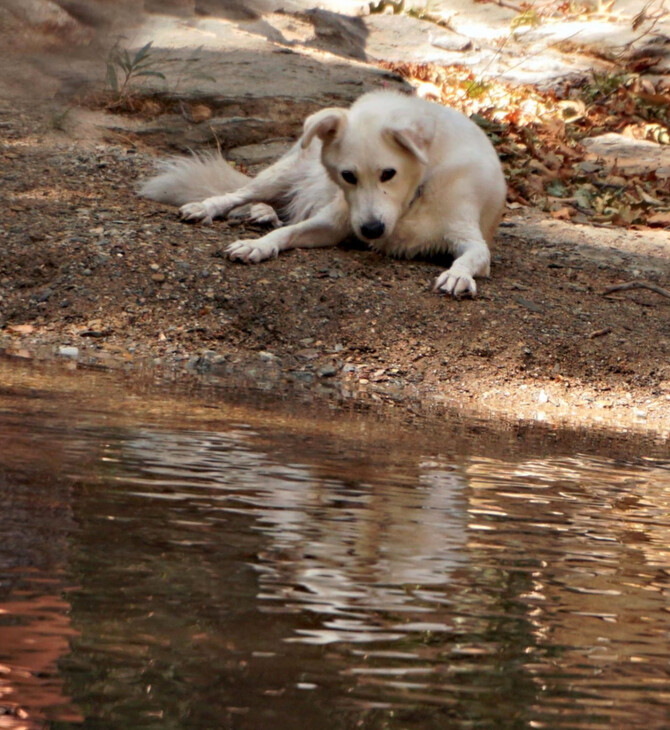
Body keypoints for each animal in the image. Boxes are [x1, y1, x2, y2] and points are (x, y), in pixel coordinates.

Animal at [142, 90, 510, 296]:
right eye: (348, 176)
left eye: (388, 173)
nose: (371, 230)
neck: (418, 188)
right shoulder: (335, 221)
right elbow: (288, 232)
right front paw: (257, 246)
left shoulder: (468, 236)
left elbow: (471, 257)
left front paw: (457, 275)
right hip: (283, 173)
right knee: (242, 192)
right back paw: (216, 207)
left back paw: (262, 213)